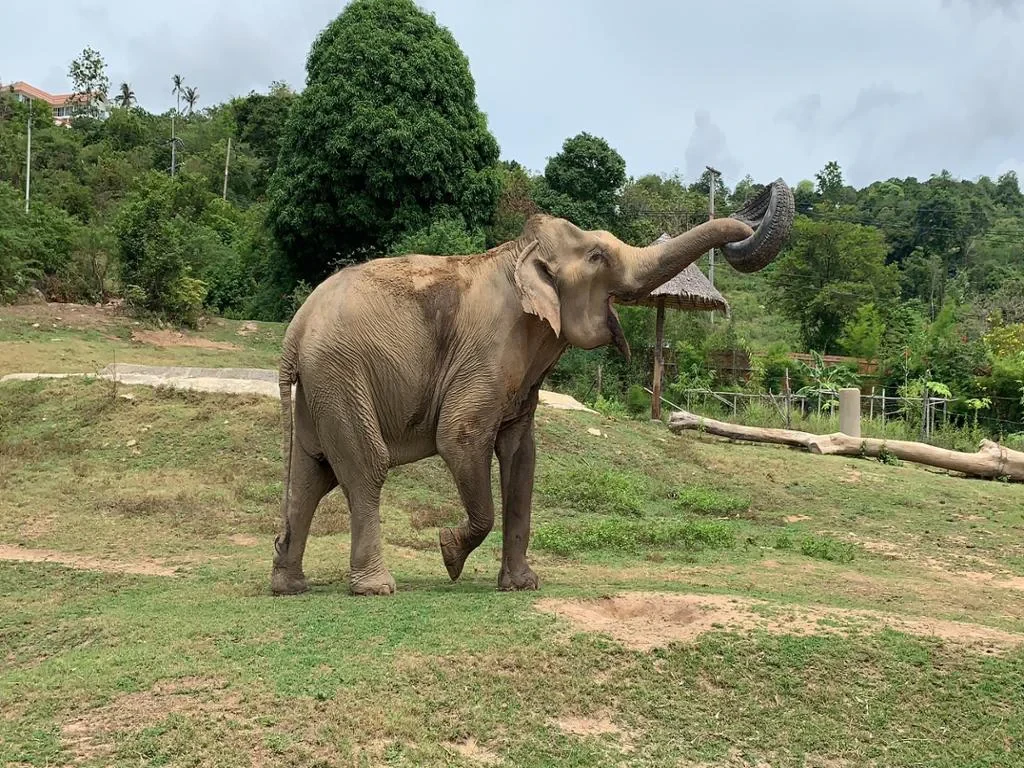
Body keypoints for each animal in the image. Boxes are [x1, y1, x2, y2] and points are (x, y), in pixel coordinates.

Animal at [270, 179, 795, 596]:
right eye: (598, 256)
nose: (763, 195)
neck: (517, 253)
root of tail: (294, 331)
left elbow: (523, 459)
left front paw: (522, 585)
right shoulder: (488, 351)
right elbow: (459, 436)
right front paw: (449, 554)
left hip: (322, 384)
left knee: (311, 473)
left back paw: (289, 585)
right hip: (342, 373)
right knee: (365, 466)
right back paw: (376, 589)